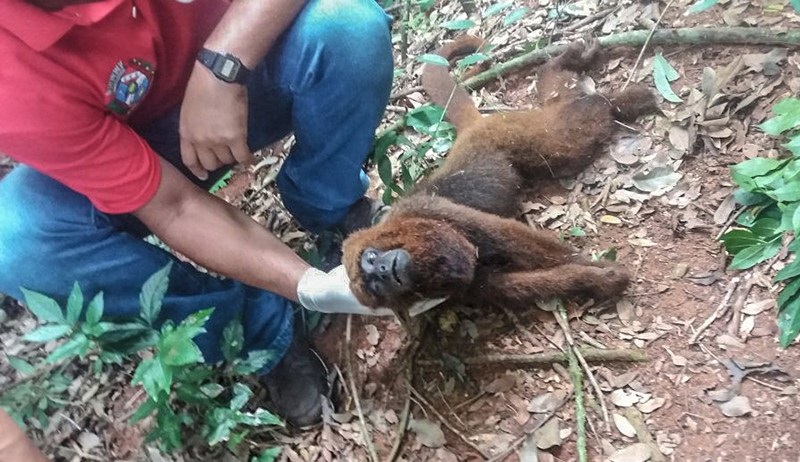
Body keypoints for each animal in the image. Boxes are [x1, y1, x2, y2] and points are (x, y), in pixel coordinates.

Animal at [340, 37, 660, 314]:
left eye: (371, 260)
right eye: (375, 285)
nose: (383, 271)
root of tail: (471, 129)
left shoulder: (430, 212)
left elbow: (512, 238)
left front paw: (597, 268)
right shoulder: (458, 288)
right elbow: (518, 284)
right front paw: (595, 280)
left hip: (510, 132)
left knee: (573, 131)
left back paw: (614, 95)